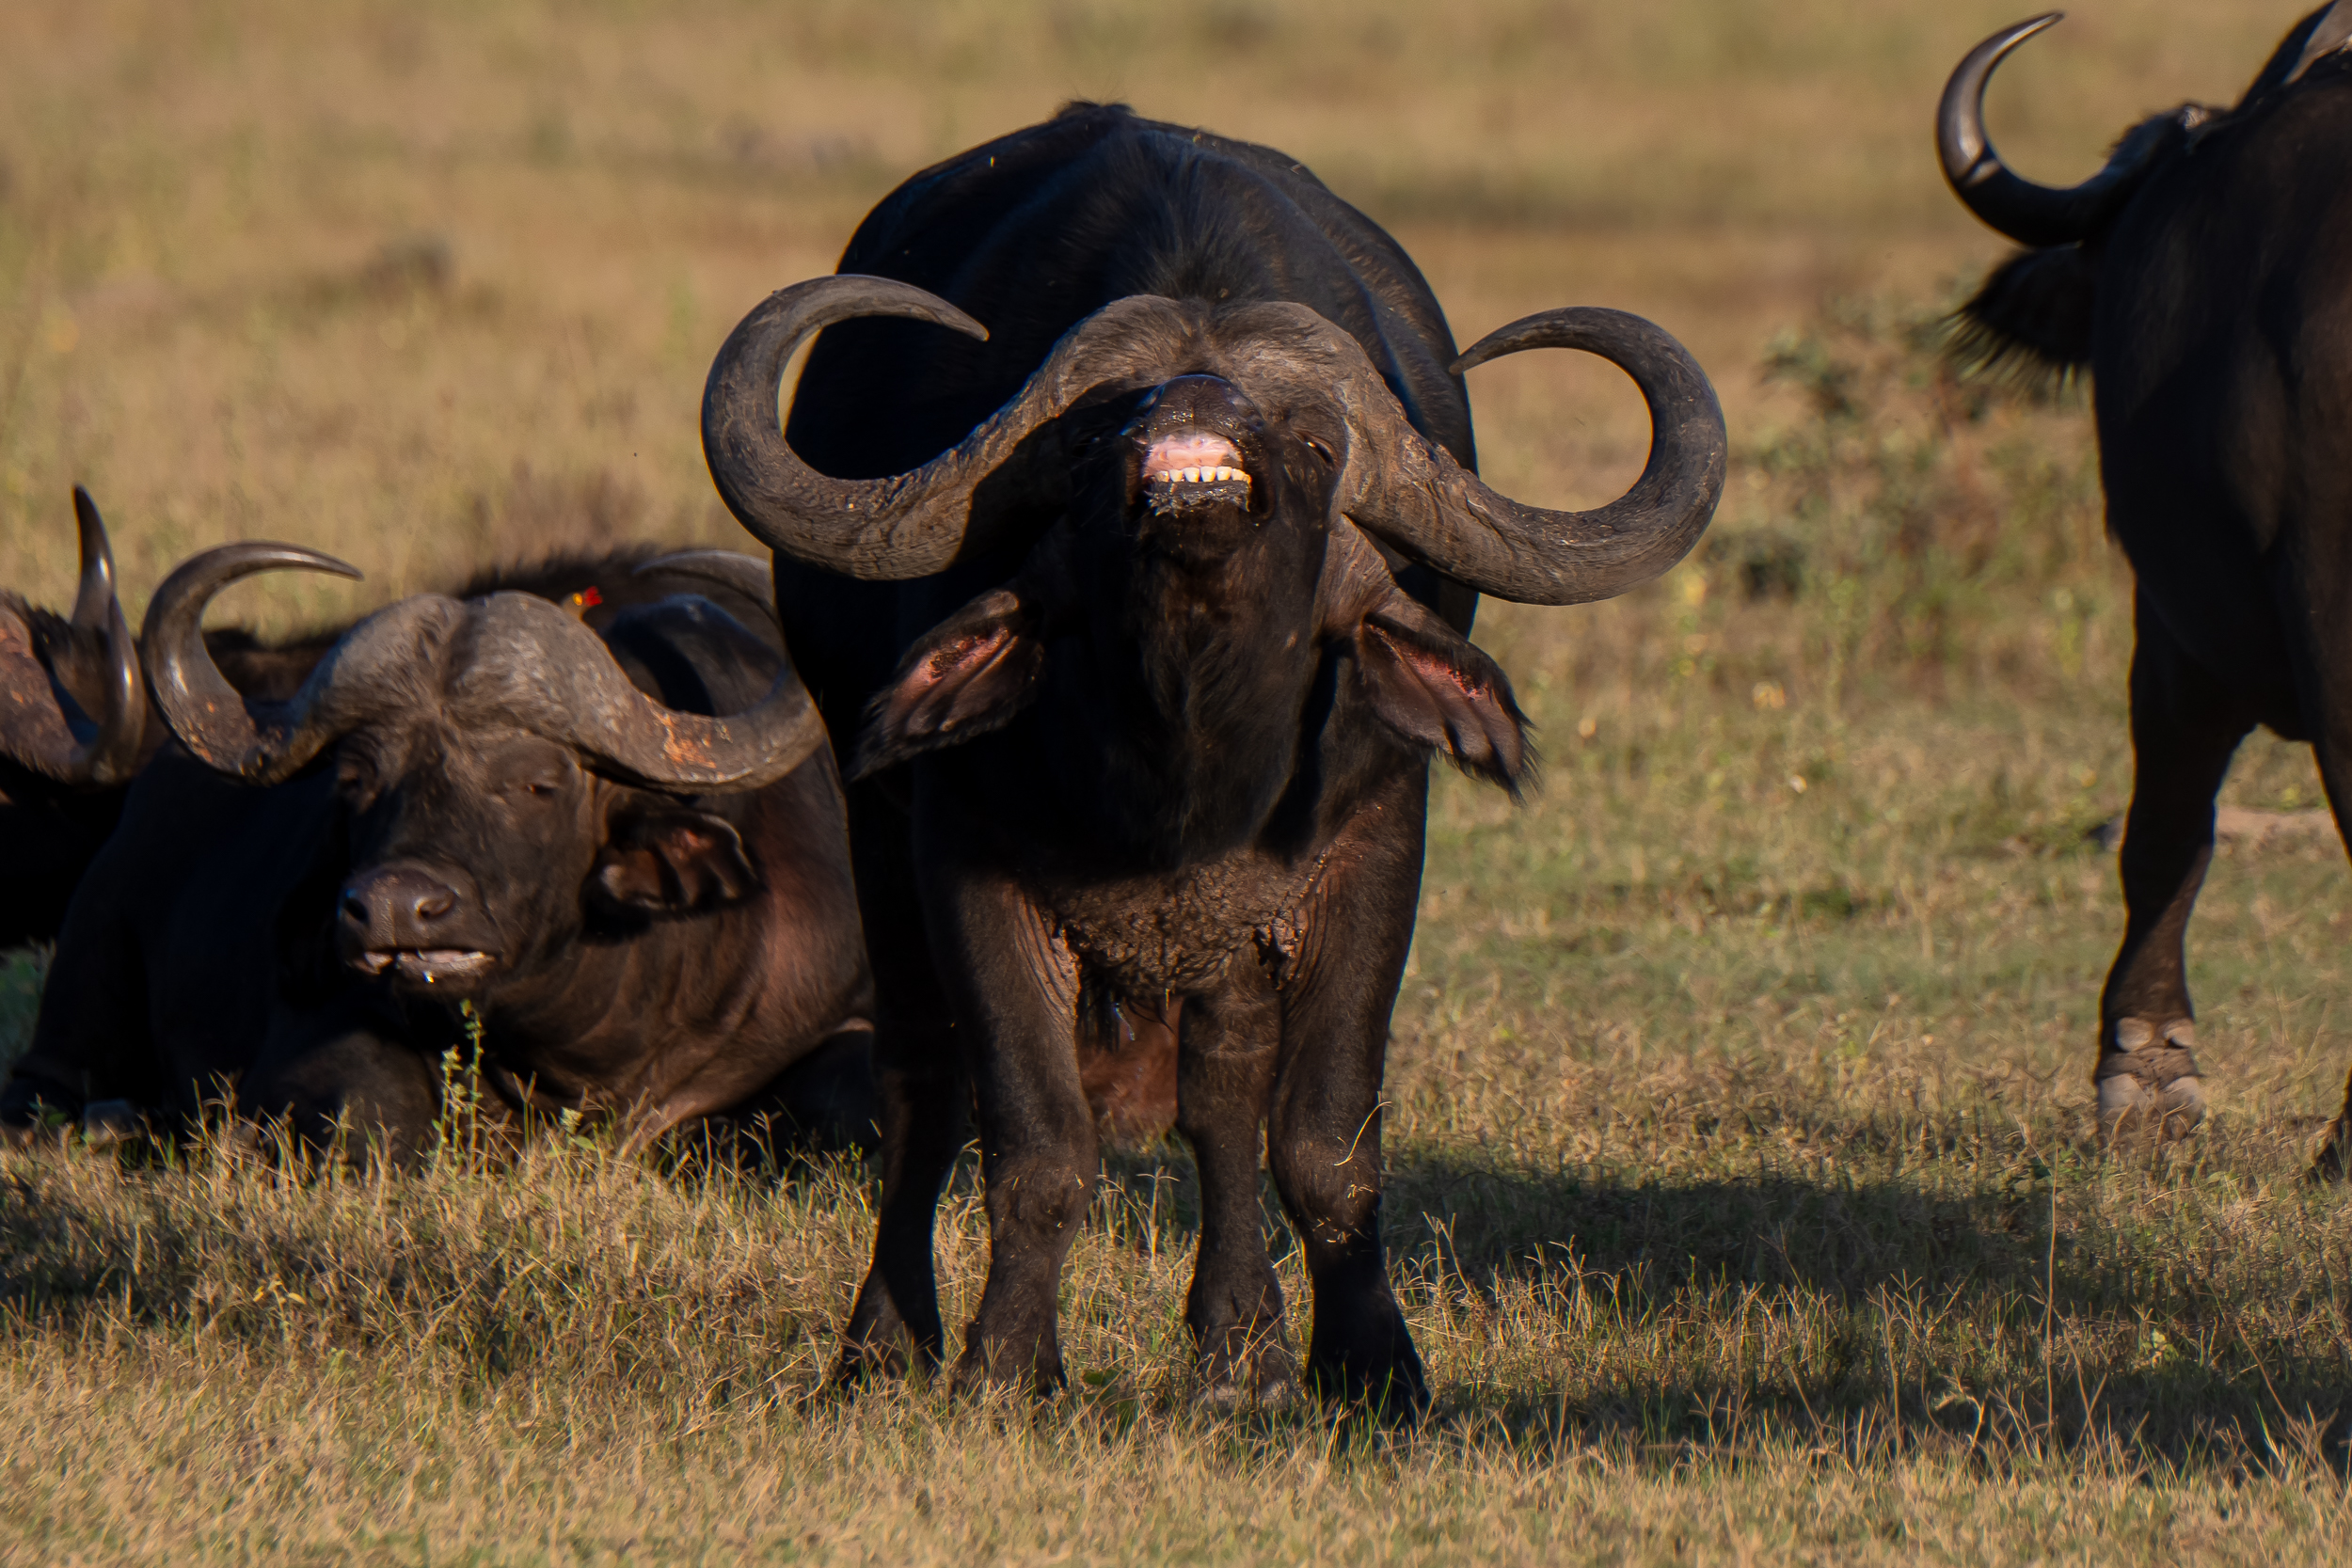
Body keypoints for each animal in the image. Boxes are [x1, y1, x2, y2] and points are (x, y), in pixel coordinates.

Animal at [696, 103, 1731, 1419]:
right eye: (1100, 428)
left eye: (1311, 436)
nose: (1194, 408)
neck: (1184, 764)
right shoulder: (961, 856)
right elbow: (1035, 1137)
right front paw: (1006, 1364)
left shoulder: (1374, 851)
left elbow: (1324, 1137)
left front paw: (1368, 1367)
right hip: (879, 836)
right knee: (921, 1079)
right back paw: (883, 1342)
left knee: (1226, 1098)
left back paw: (1240, 1350)